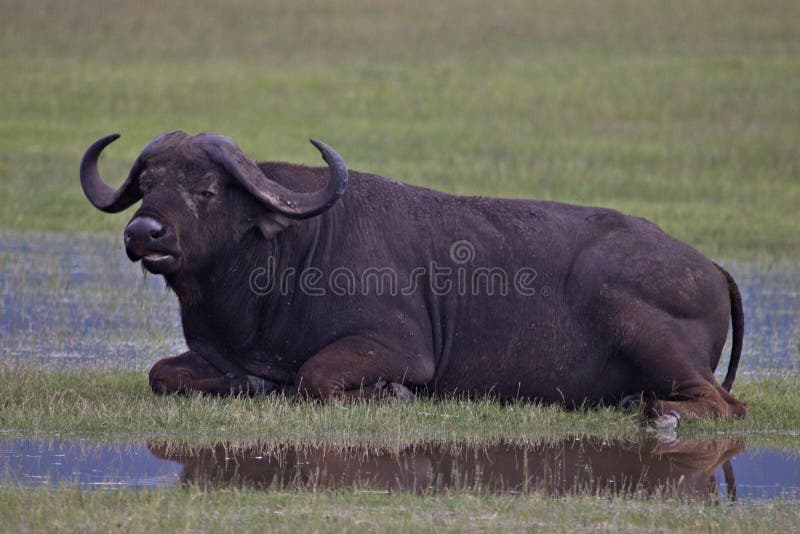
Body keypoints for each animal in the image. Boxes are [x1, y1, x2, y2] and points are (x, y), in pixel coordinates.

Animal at [78, 132, 748, 426]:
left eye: (207, 189)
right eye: (148, 183)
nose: (145, 234)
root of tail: (711, 268)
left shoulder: (396, 348)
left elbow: (315, 377)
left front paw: (388, 394)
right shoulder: (210, 356)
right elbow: (162, 373)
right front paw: (252, 383)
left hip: (637, 322)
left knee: (724, 404)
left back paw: (658, 413)